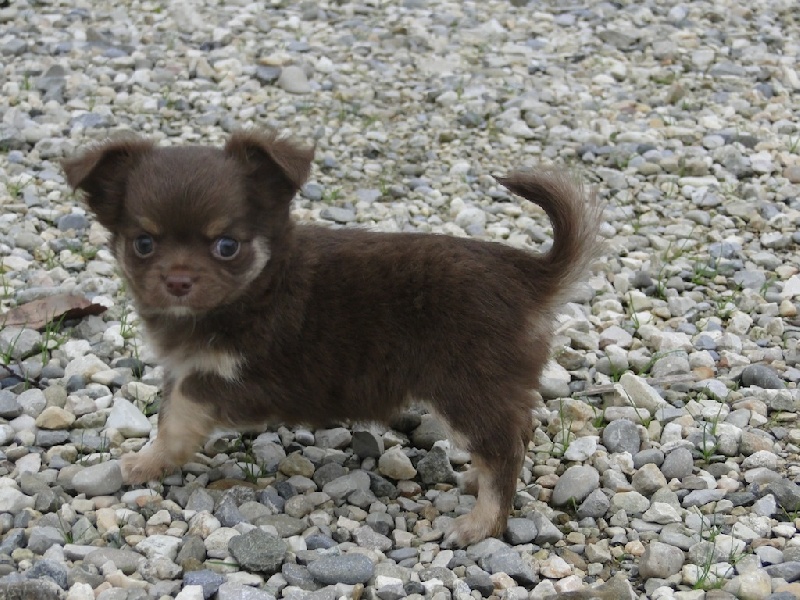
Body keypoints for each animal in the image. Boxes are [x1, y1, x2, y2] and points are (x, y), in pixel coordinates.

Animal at [62, 130, 603, 546]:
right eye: (143, 244)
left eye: (226, 246)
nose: (177, 281)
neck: (258, 283)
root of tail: (527, 272)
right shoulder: (189, 369)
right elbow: (168, 410)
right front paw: (151, 459)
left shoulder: (235, 378)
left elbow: (178, 418)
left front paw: (147, 462)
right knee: (515, 435)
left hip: (464, 387)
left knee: (503, 450)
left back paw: (480, 525)